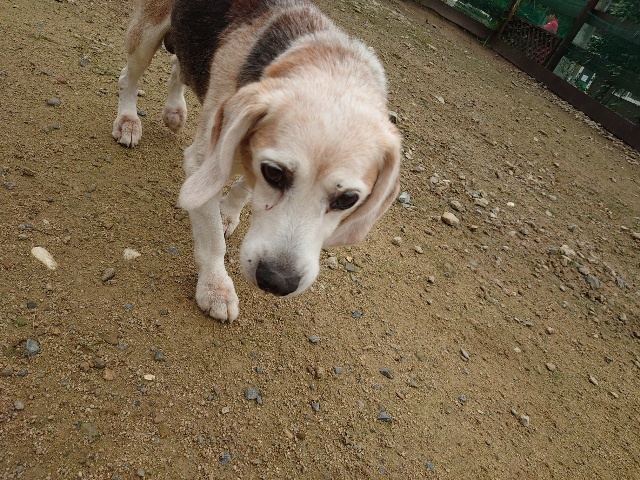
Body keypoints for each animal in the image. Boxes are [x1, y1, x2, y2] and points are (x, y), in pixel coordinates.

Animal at [113, 0, 401, 322]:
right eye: (273, 173)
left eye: (348, 199)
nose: (277, 281)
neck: (333, 66)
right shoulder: (203, 164)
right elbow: (213, 238)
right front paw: (215, 287)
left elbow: (241, 190)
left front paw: (228, 212)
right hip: (145, 36)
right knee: (129, 76)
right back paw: (127, 120)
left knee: (179, 66)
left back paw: (175, 109)